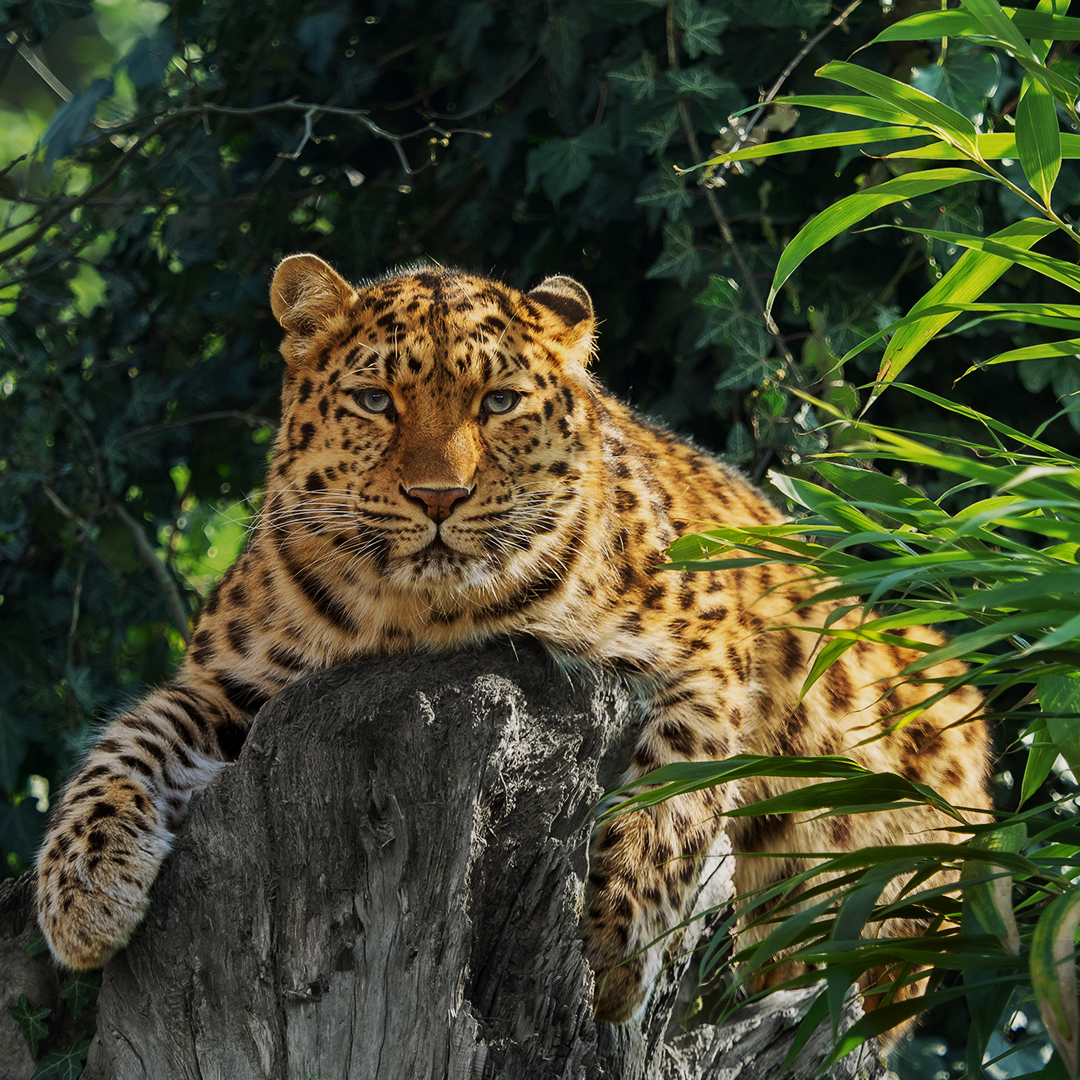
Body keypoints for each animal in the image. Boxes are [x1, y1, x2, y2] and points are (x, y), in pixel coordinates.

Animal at [35, 254, 991, 1025]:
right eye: (376, 401)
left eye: (497, 403)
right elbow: (128, 743)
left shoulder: (709, 641)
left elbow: (675, 791)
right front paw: (80, 896)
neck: (422, 617)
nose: (438, 497)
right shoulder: (234, 683)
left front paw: (612, 949)